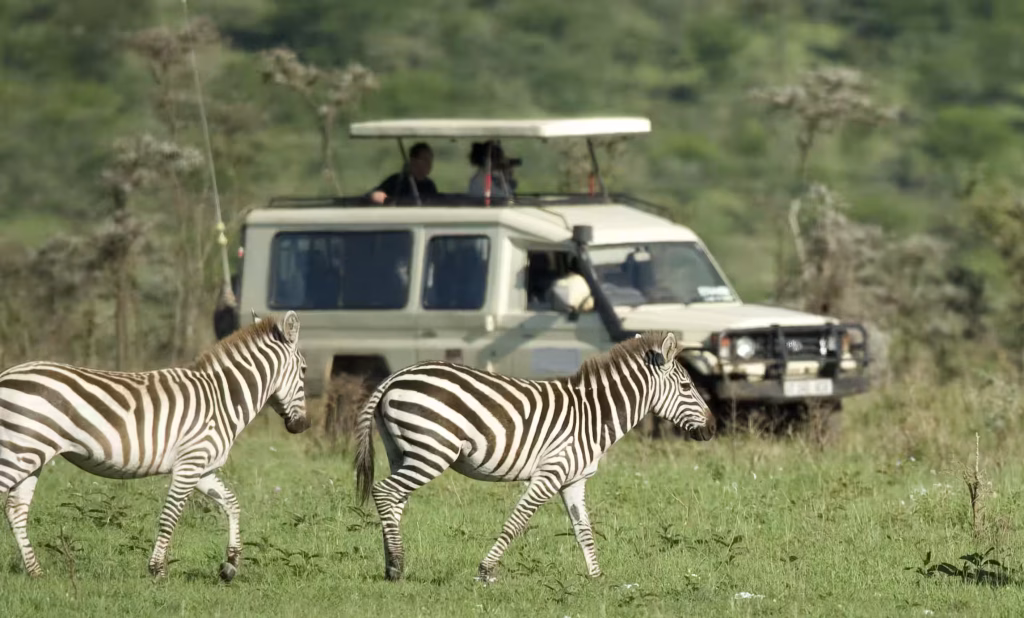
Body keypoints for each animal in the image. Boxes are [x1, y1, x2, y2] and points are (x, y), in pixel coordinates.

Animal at [0, 310, 309, 582]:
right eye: (305, 370)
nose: (303, 426)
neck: (221, 399)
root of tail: (8, 374)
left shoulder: (202, 468)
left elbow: (231, 503)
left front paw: (230, 566)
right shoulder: (189, 465)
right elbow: (170, 517)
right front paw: (158, 570)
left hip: (31, 455)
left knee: (16, 509)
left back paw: (36, 572)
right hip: (18, 451)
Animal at [353, 330, 715, 582]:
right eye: (686, 387)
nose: (712, 428)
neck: (594, 415)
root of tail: (396, 376)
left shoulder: (573, 480)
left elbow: (584, 530)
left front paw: (597, 578)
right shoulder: (550, 472)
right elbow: (517, 522)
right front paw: (486, 570)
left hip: (404, 451)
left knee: (395, 499)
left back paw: (392, 566)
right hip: (432, 451)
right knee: (385, 491)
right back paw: (396, 564)